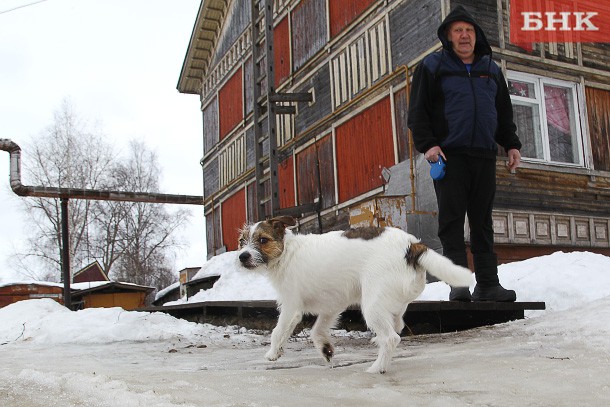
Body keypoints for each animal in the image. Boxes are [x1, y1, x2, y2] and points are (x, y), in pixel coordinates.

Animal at [235, 218, 472, 374]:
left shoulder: (291, 307)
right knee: (397, 325)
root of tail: (412, 245)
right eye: (242, 241)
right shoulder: (331, 306)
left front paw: (272, 354)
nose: (242, 256)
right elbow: (317, 331)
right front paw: (326, 350)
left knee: (392, 338)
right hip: (391, 302)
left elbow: (278, 331)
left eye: (263, 240)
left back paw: (377, 368)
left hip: (372, 306)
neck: (286, 252)